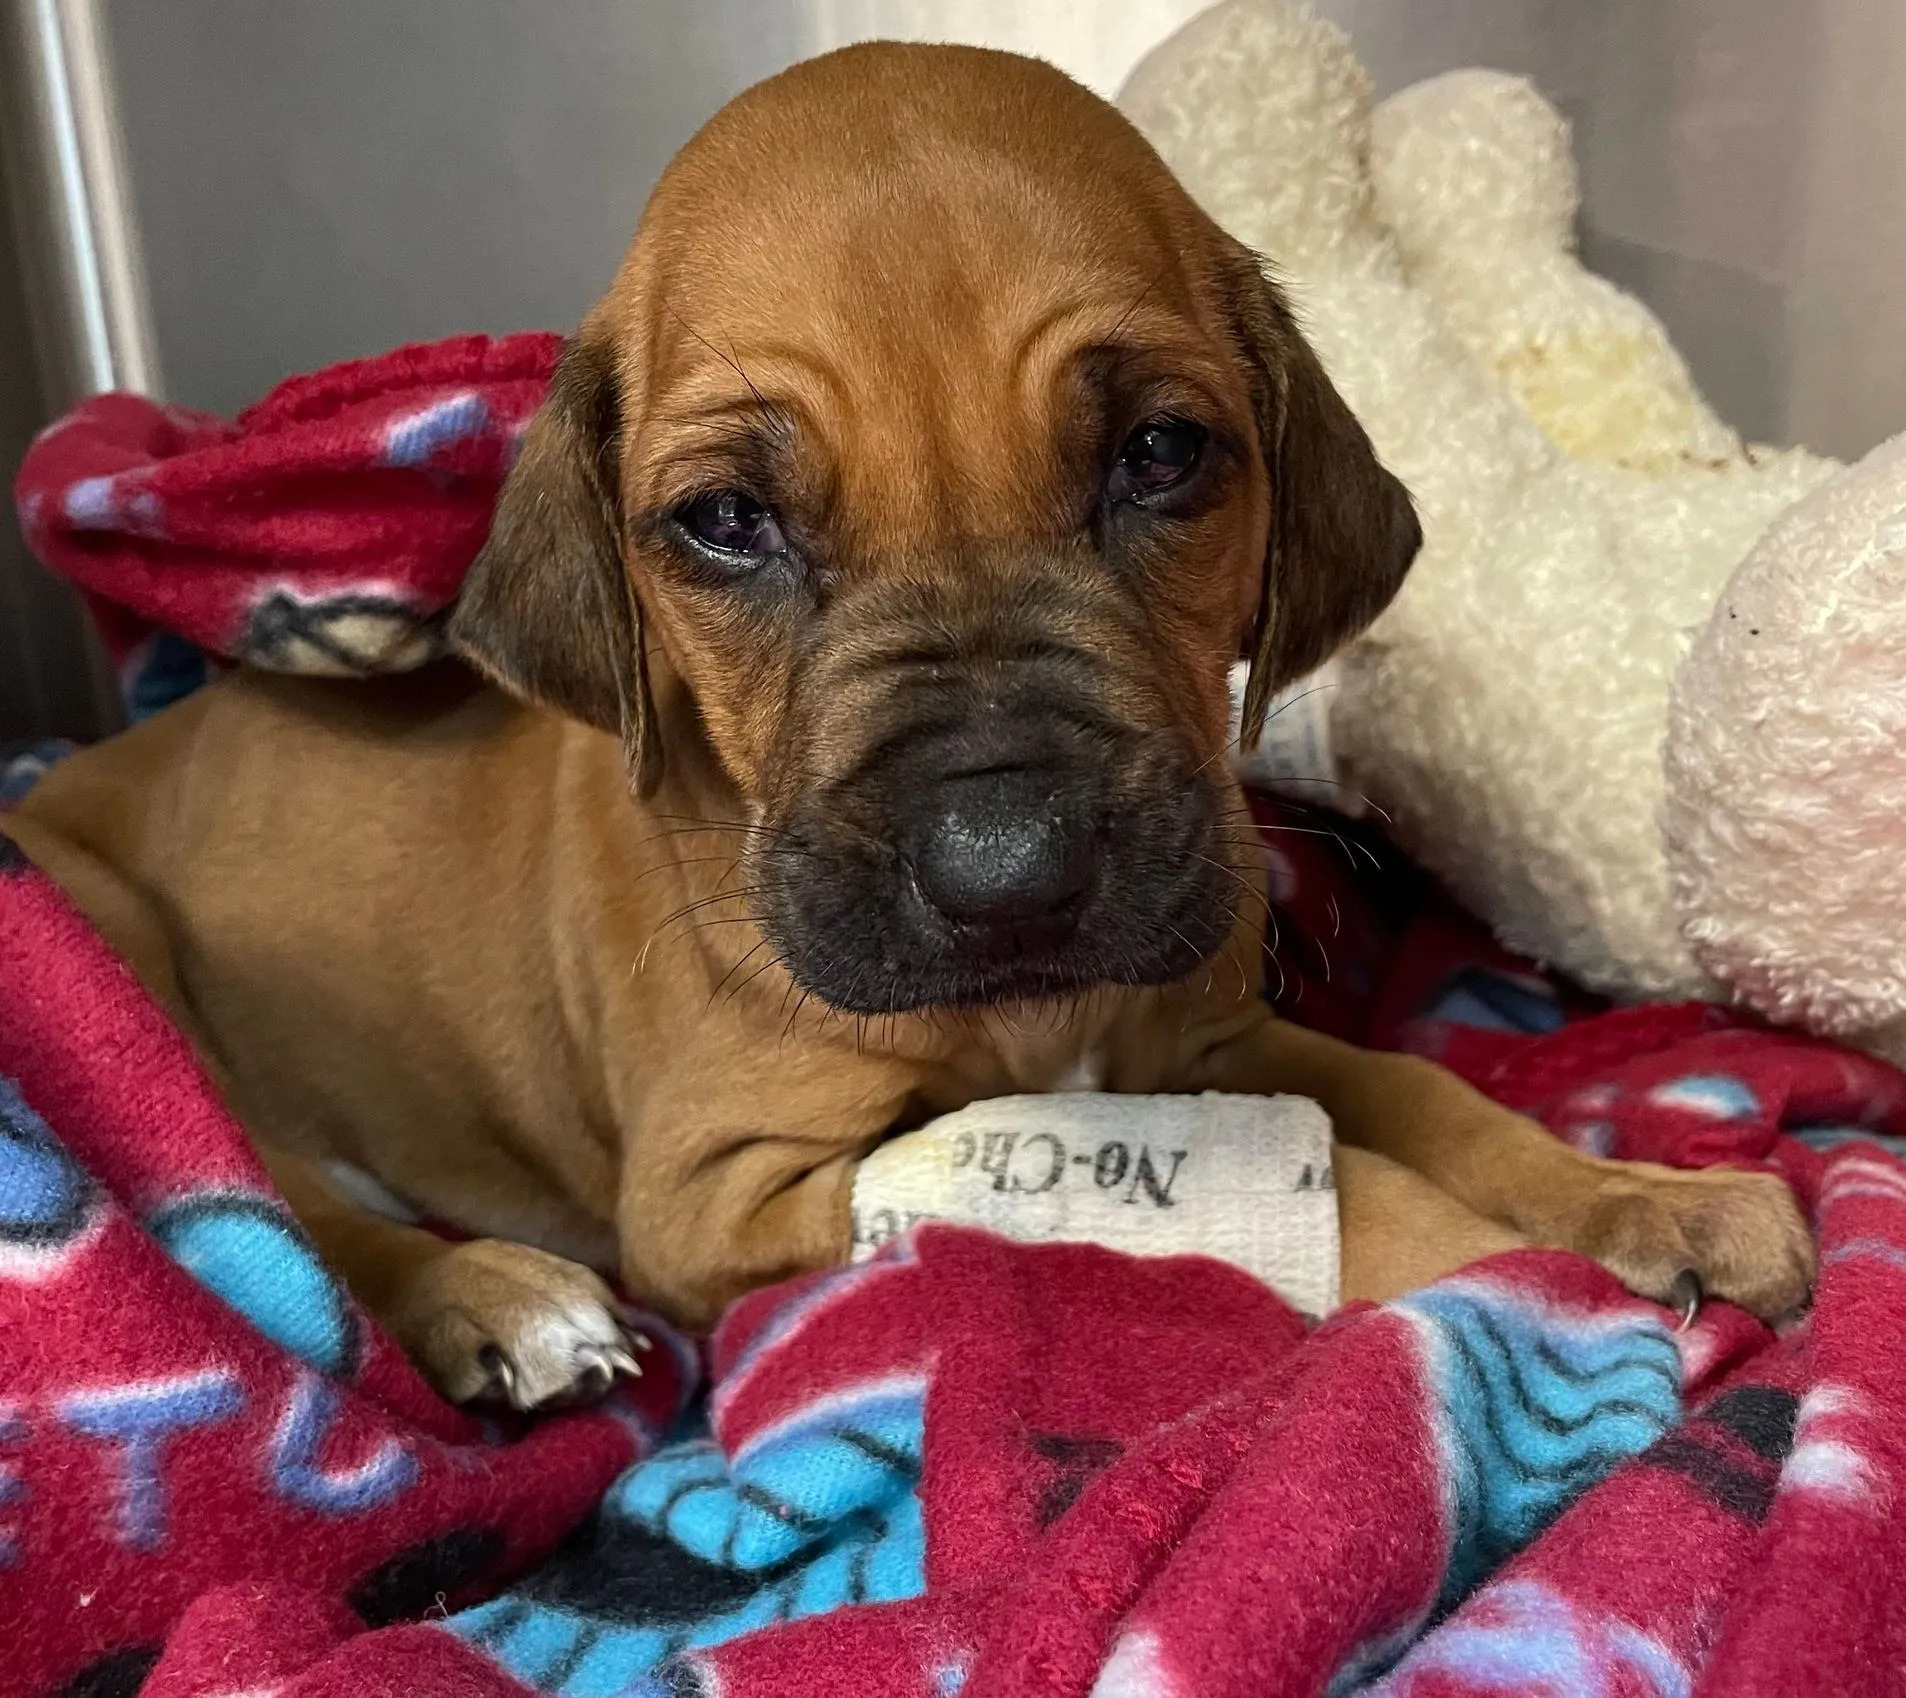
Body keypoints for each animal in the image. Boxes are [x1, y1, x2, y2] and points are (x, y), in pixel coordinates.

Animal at [3, 46, 1814, 1417]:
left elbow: (1416, 1093)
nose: (1010, 872)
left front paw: (1642, 1199)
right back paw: (493, 1299)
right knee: (273, 1216)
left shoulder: (1209, 1036)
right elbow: (1328, 1189)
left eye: (1163, 454)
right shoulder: (724, 1187)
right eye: (724, 522)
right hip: (112, 951)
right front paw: (1535, 1284)